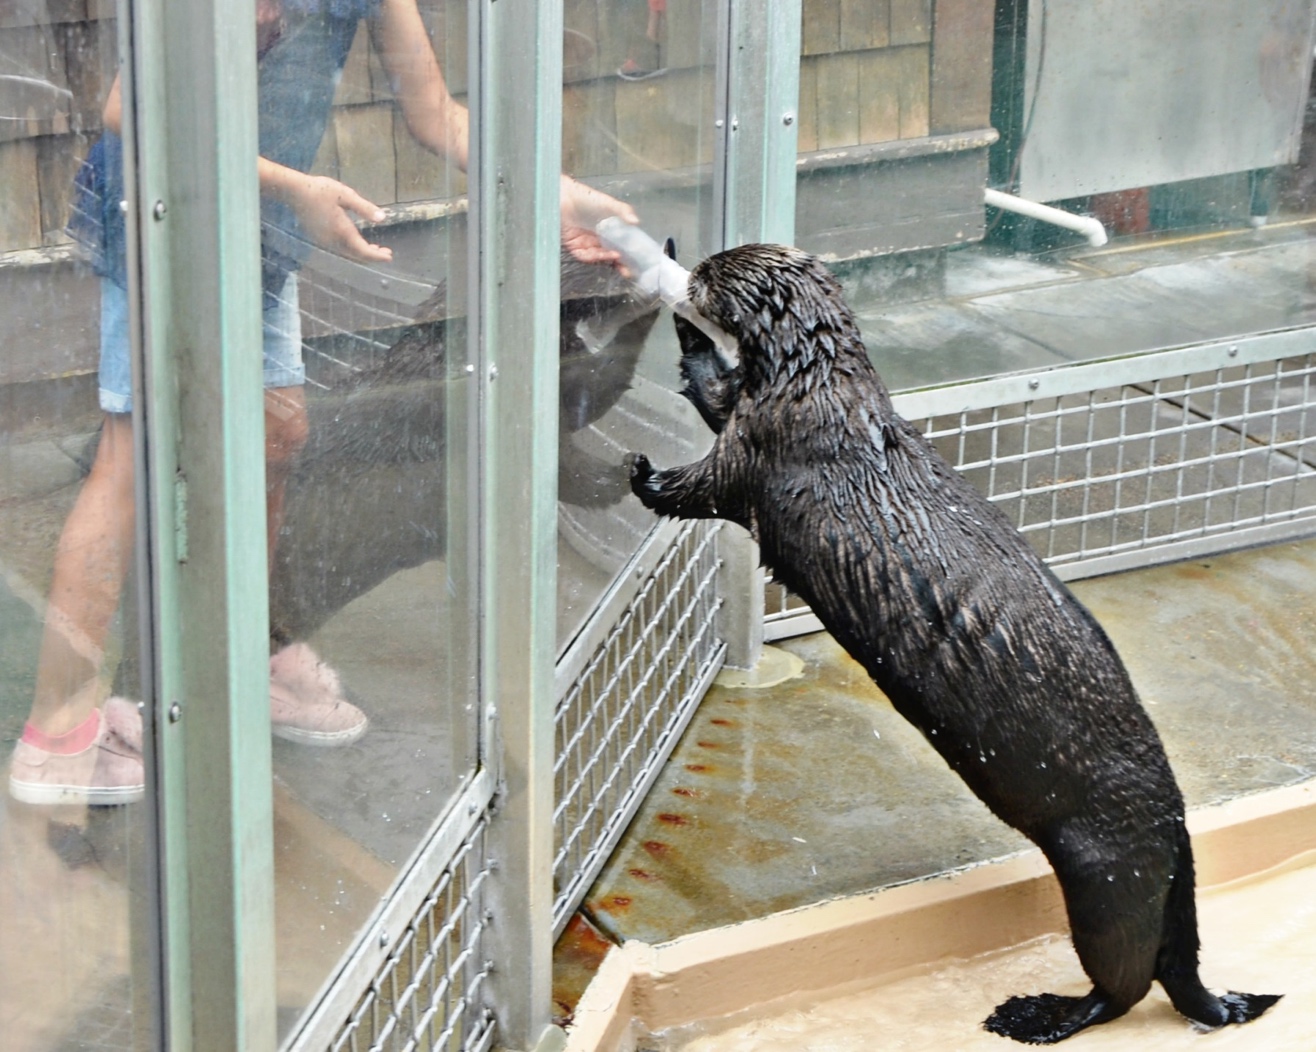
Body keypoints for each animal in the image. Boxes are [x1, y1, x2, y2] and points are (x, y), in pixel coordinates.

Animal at [628, 244, 1280, 1044]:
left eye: (720, 270)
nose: (691, 268)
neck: (818, 392)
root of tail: (1177, 822)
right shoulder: (751, 411)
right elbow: (715, 388)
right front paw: (680, 320)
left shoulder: (758, 447)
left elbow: (699, 485)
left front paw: (644, 470)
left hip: (1106, 878)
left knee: (1125, 984)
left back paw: (1036, 1014)